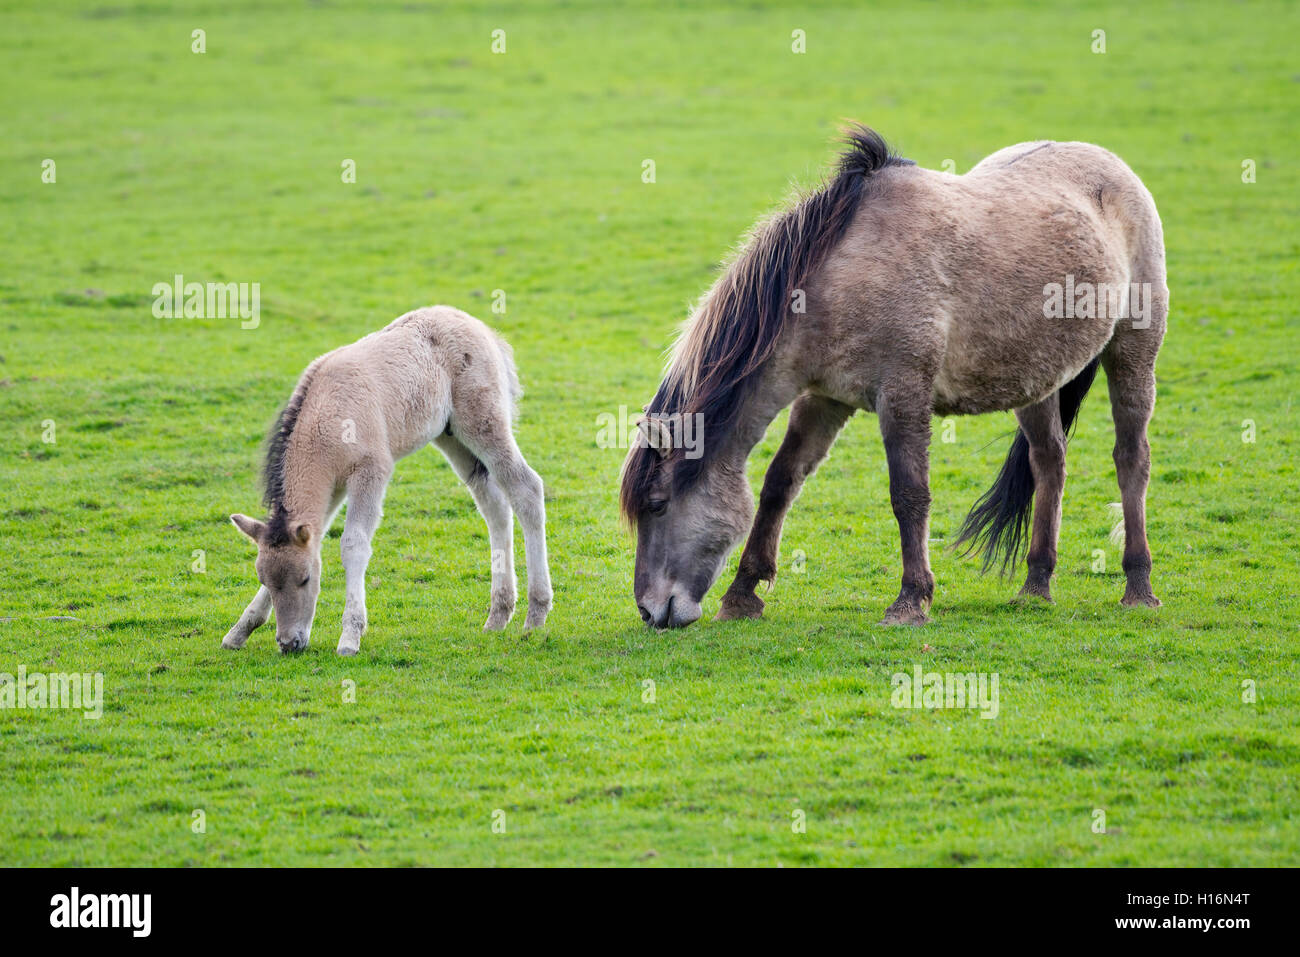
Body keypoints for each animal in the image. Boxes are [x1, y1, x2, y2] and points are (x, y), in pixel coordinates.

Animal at [221, 306, 552, 655]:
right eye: (265, 580)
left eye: (306, 579)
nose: (289, 643)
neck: (326, 417)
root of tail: (483, 329)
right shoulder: (331, 487)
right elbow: (318, 534)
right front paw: (239, 631)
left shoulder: (372, 470)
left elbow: (353, 543)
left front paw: (350, 636)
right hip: (452, 437)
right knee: (494, 505)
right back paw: (498, 615)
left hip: (483, 422)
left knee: (526, 488)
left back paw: (535, 614)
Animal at [620, 126, 1167, 628]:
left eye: (658, 505)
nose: (649, 611)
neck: (837, 279)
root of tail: (1111, 165)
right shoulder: (825, 398)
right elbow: (780, 482)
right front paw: (743, 593)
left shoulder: (903, 393)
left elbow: (909, 494)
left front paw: (911, 600)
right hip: (1036, 377)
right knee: (1049, 462)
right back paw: (1036, 584)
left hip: (1134, 350)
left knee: (1131, 460)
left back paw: (1138, 587)